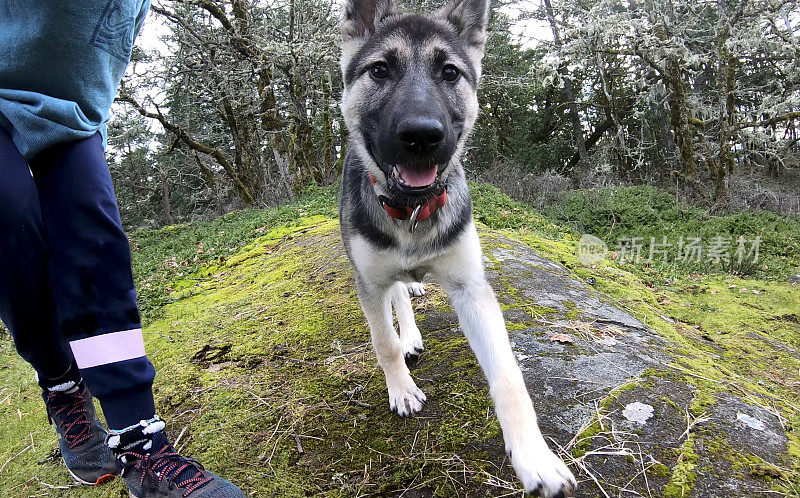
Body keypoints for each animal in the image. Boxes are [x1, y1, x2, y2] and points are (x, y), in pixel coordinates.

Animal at [336, 0, 576, 492]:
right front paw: (401, 387)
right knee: (395, 299)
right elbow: (383, 341)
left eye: (449, 72)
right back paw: (408, 333)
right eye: (380, 69)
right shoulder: (368, 282)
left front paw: (534, 456)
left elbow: (508, 375)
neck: (412, 210)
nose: (422, 135)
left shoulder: (471, 289)